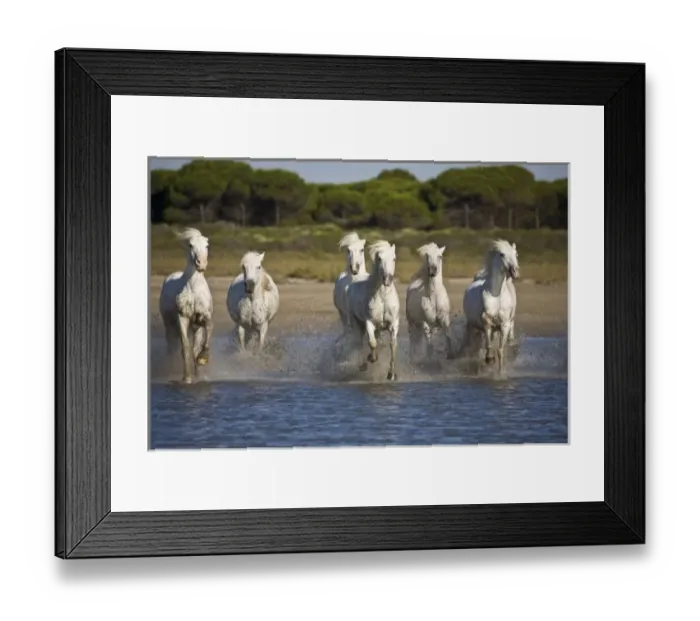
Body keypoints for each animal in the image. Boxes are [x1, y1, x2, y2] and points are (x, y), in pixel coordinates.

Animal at [158, 228, 213, 384]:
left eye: (207, 245)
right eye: (190, 245)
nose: (201, 264)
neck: (193, 289)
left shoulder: (203, 317)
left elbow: (207, 332)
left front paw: (202, 359)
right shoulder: (182, 317)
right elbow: (185, 347)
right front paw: (187, 378)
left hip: (194, 327)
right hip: (169, 325)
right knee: (171, 347)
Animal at [345, 240, 400, 381]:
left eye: (394, 258)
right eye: (379, 258)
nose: (388, 279)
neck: (383, 297)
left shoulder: (393, 324)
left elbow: (392, 345)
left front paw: (391, 374)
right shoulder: (369, 322)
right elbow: (372, 342)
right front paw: (372, 358)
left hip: (379, 328)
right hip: (357, 323)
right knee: (360, 343)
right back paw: (363, 364)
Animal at [462, 239, 519, 375]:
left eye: (516, 254)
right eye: (502, 254)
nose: (515, 273)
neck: (497, 297)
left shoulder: (504, 325)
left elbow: (500, 350)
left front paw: (500, 372)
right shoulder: (487, 323)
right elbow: (488, 346)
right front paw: (489, 359)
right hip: (472, 325)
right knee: (472, 344)